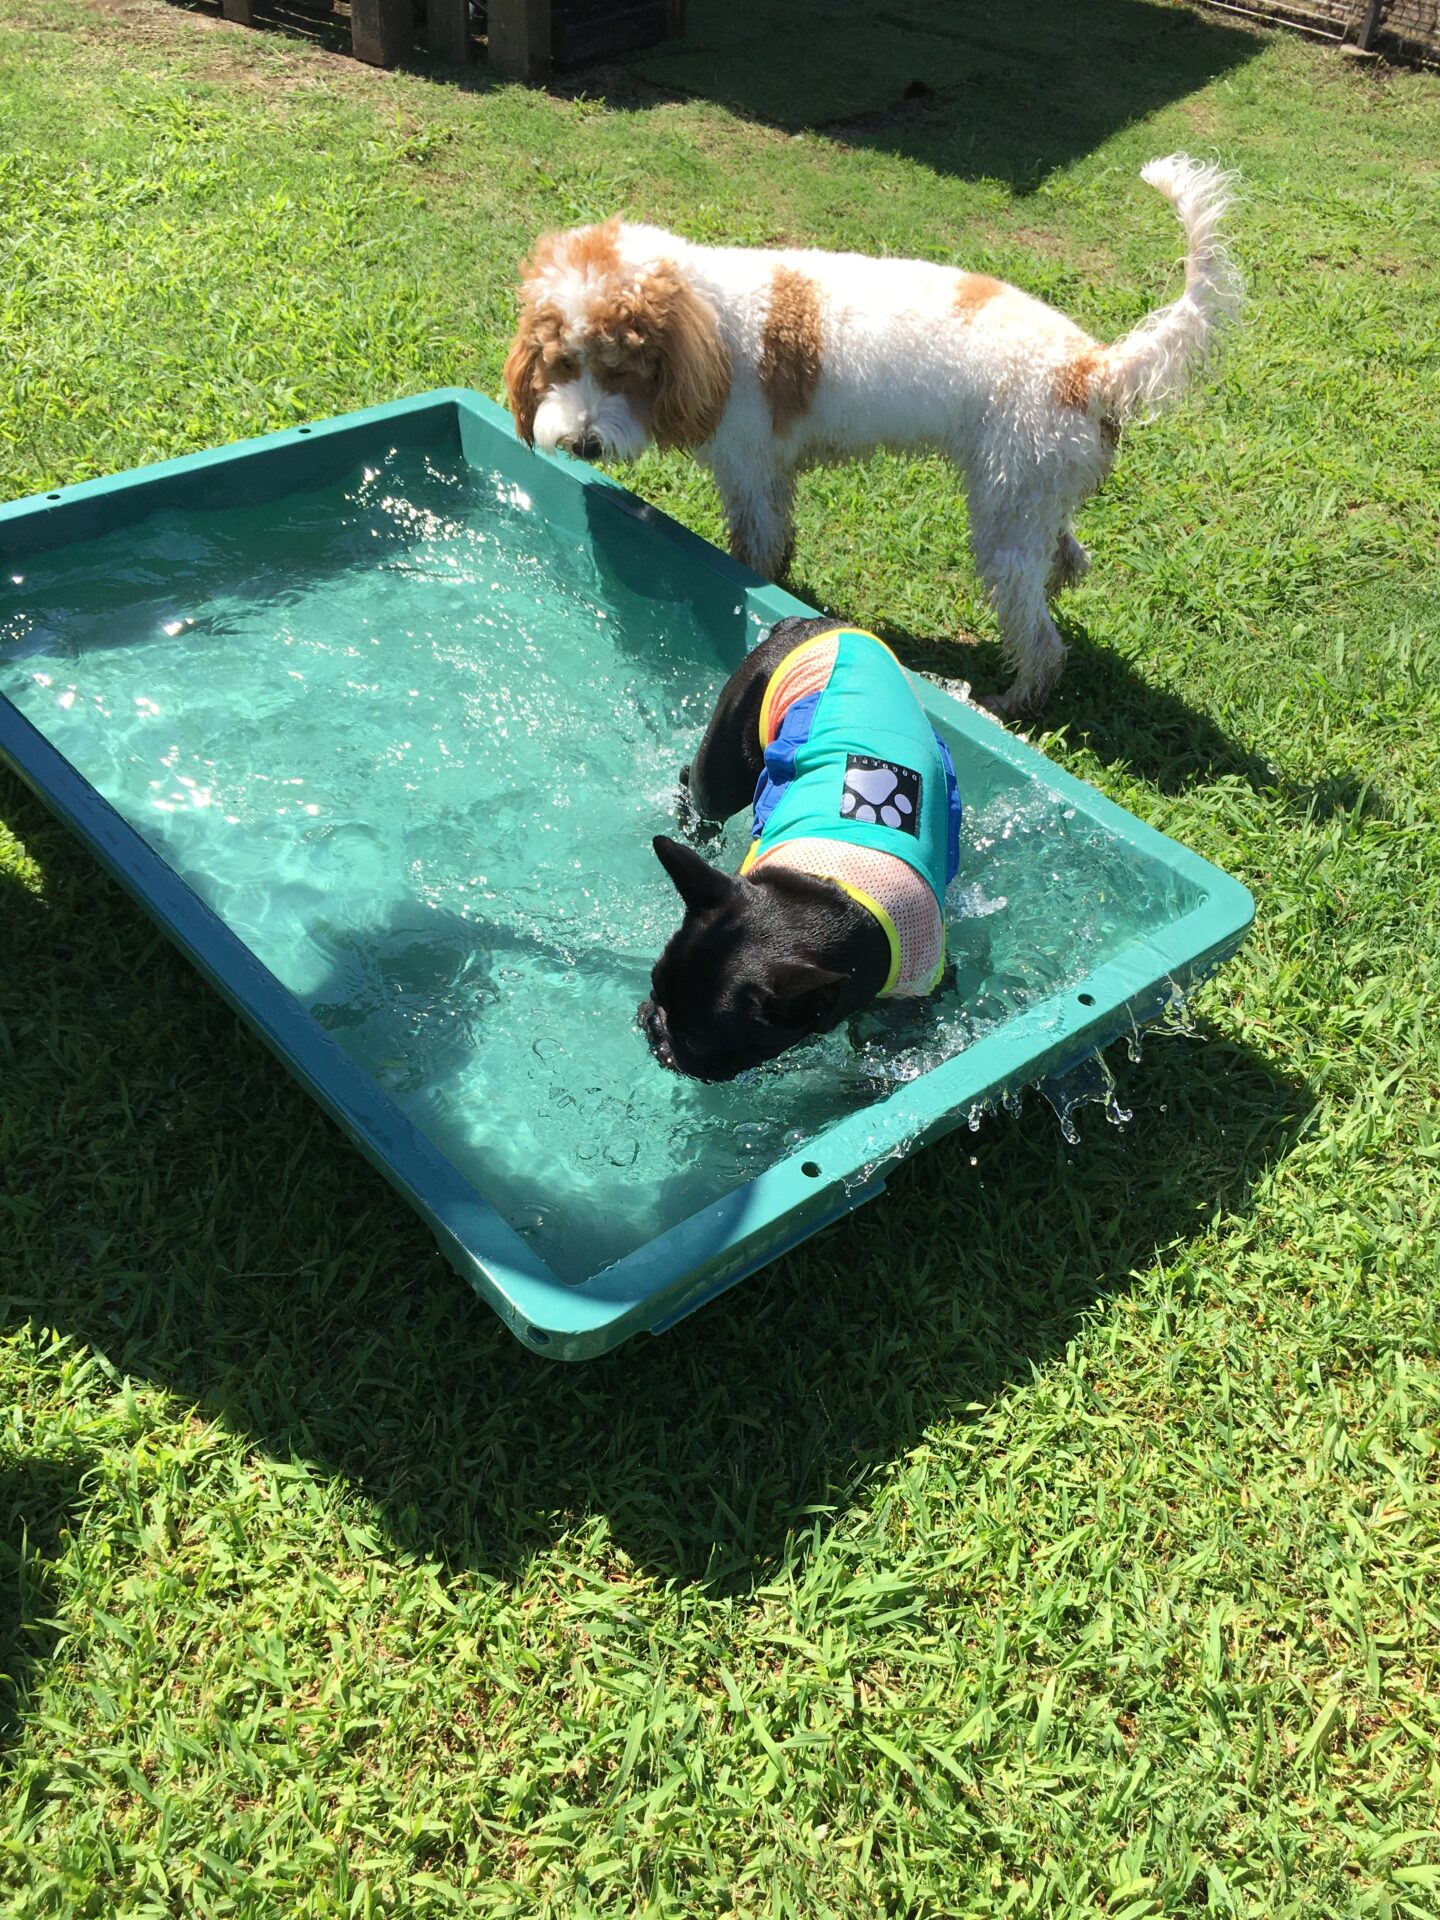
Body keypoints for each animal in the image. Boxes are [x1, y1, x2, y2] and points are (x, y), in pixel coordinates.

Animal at [504, 155, 1239, 717]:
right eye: (561, 362)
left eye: (620, 367)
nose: (583, 446)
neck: (708, 319)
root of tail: (1093, 368)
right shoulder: (768, 473)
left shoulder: (750, 468)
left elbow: (755, 549)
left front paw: (756, 589)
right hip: (1033, 490)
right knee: (1065, 559)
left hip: (1005, 507)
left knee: (1040, 637)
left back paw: (1014, 700)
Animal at [638, 616, 963, 1081]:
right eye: (653, 985)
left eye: (697, 1041)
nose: (654, 1023)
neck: (827, 896)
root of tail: (810, 623)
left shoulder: (920, 991)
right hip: (727, 766)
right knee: (698, 786)